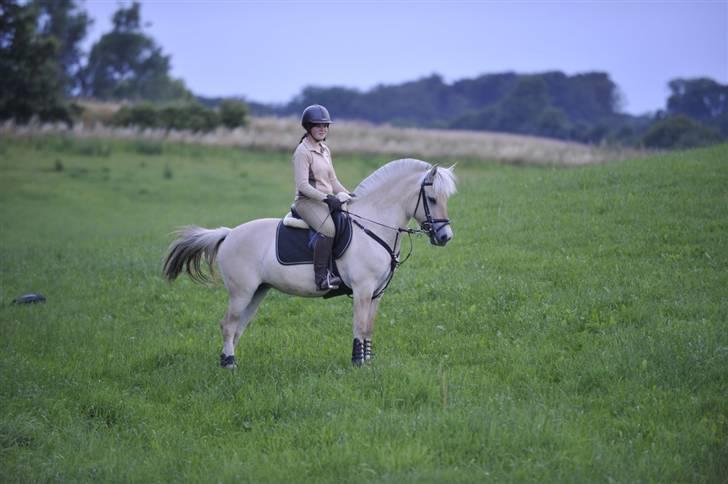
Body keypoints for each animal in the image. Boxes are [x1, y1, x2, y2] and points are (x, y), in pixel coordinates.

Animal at [164, 159, 456, 366]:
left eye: (445, 198)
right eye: (432, 199)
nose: (445, 237)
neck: (374, 225)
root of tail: (229, 234)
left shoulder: (377, 293)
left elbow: (369, 328)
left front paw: (368, 362)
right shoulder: (362, 289)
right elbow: (360, 326)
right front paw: (358, 363)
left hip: (257, 292)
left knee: (238, 327)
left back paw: (229, 361)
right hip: (241, 292)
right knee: (228, 324)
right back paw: (229, 365)